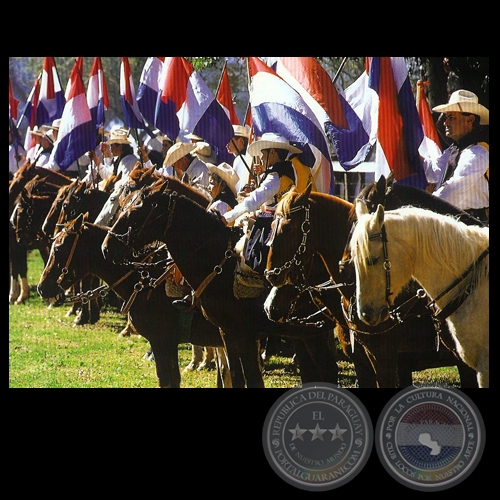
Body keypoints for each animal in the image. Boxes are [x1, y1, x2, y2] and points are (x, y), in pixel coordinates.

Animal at [99, 182, 338, 388]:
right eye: (122, 205)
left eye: (135, 212)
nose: (106, 248)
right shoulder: (228, 333)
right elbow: (236, 378)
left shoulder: (245, 335)